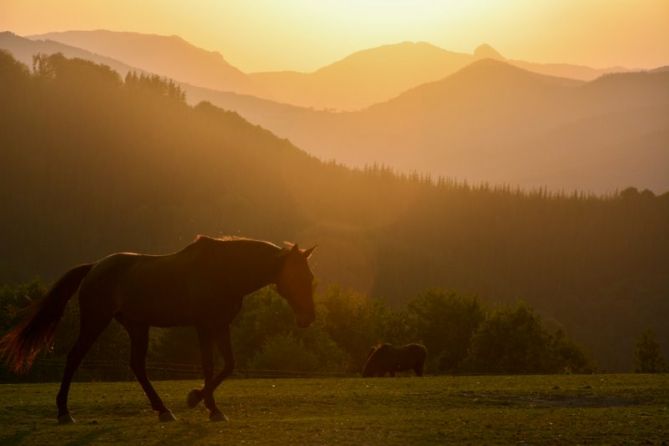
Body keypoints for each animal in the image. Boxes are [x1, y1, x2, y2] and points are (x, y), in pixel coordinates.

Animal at [0, 235, 316, 424]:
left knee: (137, 366)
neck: (224, 272)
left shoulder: (220, 325)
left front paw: (204, 402)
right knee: (74, 357)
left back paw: (163, 410)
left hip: (137, 326)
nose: (308, 318)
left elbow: (228, 365)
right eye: (297, 276)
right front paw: (203, 403)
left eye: (310, 276)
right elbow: (209, 366)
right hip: (95, 321)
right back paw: (64, 412)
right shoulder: (203, 326)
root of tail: (95, 267)